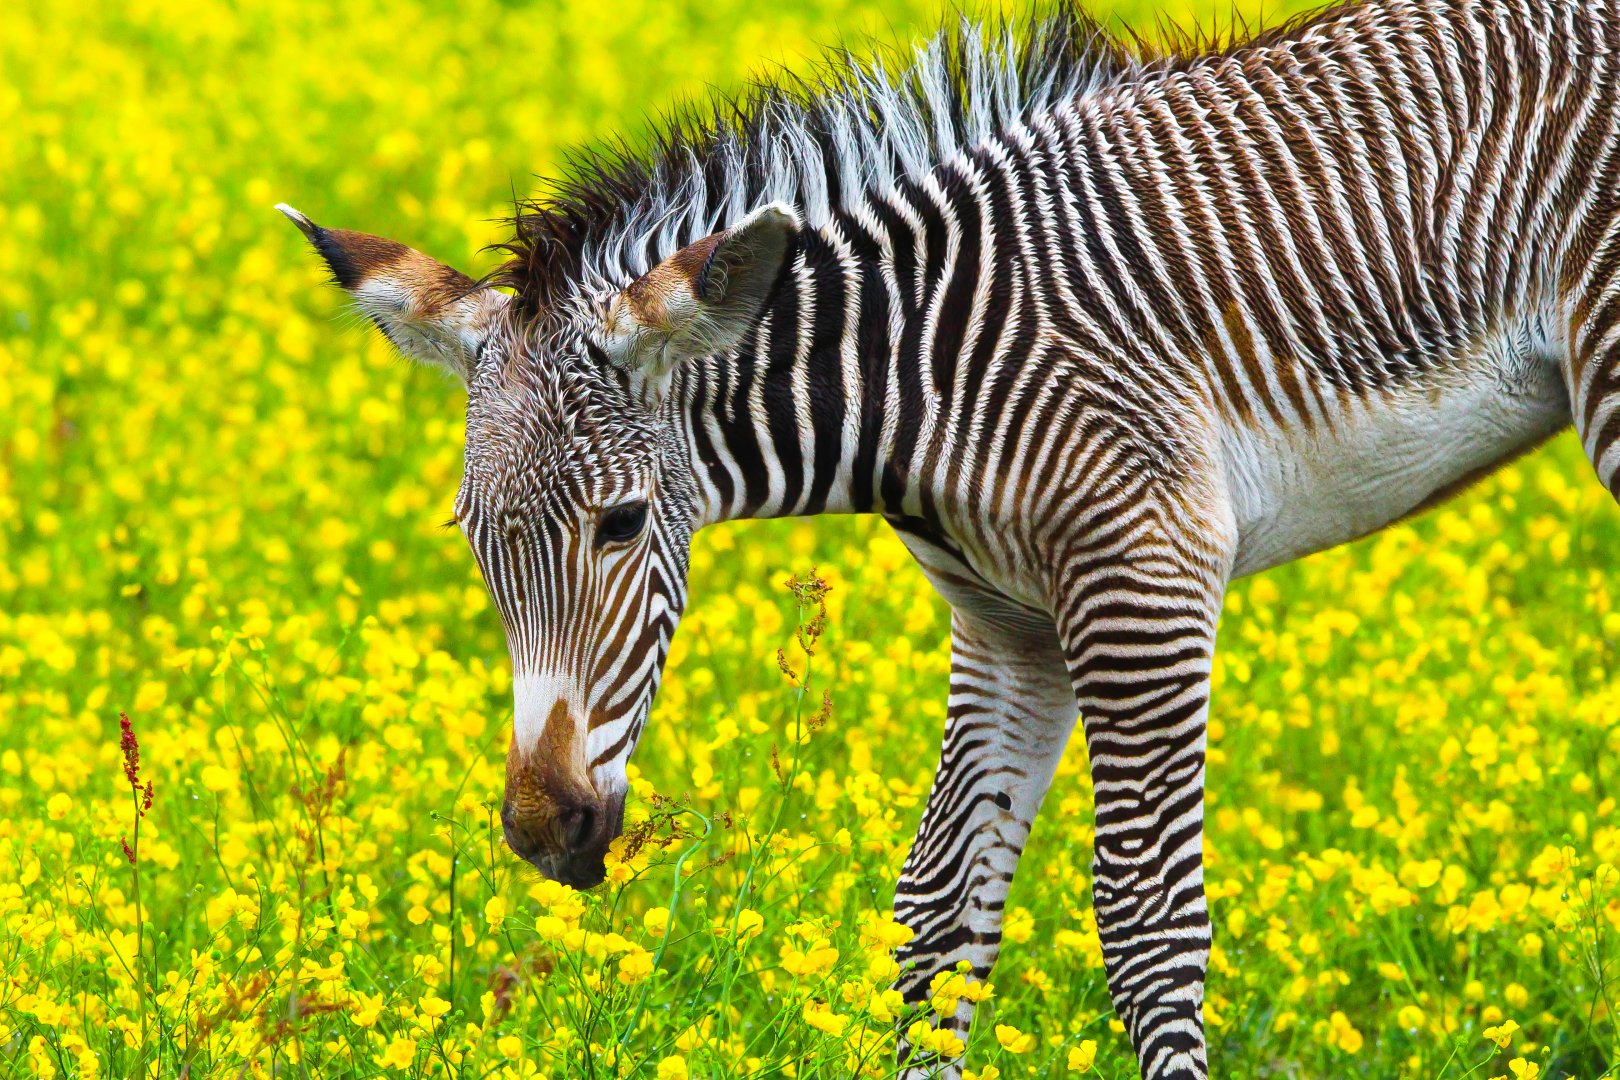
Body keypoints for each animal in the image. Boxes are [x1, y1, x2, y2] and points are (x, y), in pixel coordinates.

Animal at [279, 0, 1620, 1073]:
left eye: (619, 524)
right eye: (473, 542)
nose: (539, 831)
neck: (923, 371)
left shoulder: (1144, 576)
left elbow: (1146, 920)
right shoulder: (1011, 623)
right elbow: (934, 921)